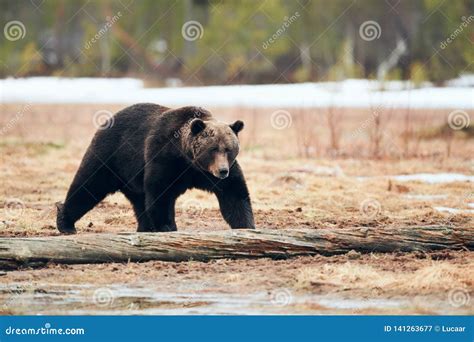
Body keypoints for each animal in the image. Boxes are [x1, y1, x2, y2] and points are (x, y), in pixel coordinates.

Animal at [56, 103, 256, 234]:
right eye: (213, 148)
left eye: (229, 149)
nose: (222, 171)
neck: (188, 159)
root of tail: (108, 120)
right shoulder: (164, 157)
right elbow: (160, 192)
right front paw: (166, 226)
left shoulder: (209, 173)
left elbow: (234, 193)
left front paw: (246, 225)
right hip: (110, 156)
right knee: (89, 185)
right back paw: (65, 223)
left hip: (131, 175)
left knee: (139, 200)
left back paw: (144, 227)